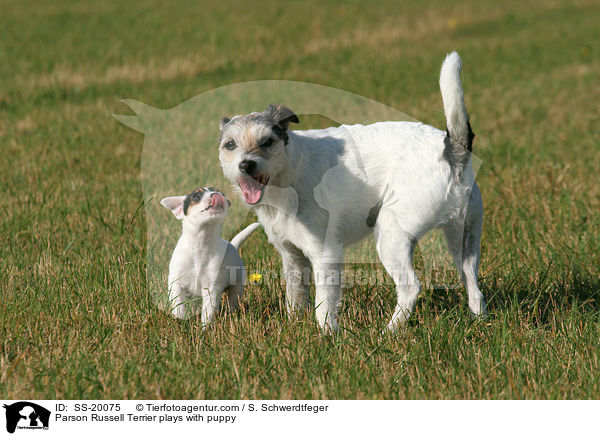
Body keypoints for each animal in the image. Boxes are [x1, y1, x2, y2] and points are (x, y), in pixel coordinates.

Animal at [161, 187, 258, 328]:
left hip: (237, 286)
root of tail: (233, 246)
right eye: (196, 197)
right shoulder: (176, 283)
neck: (201, 243)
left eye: (222, 193)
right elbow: (178, 304)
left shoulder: (212, 287)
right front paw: (179, 320)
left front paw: (205, 329)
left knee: (233, 300)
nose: (217, 194)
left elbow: (208, 311)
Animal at [218, 52, 486, 330]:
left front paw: (328, 332)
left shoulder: (325, 254)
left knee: (411, 287)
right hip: (464, 238)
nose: (246, 165)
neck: (290, 171)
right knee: (473, 286)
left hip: (391, 236)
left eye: (267, 142)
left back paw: (389, 331)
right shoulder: (292, 257)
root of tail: (452, 148)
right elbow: (295, 297)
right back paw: (479, 322)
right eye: (230, 145)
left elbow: (323, 303)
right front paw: (294, 326)